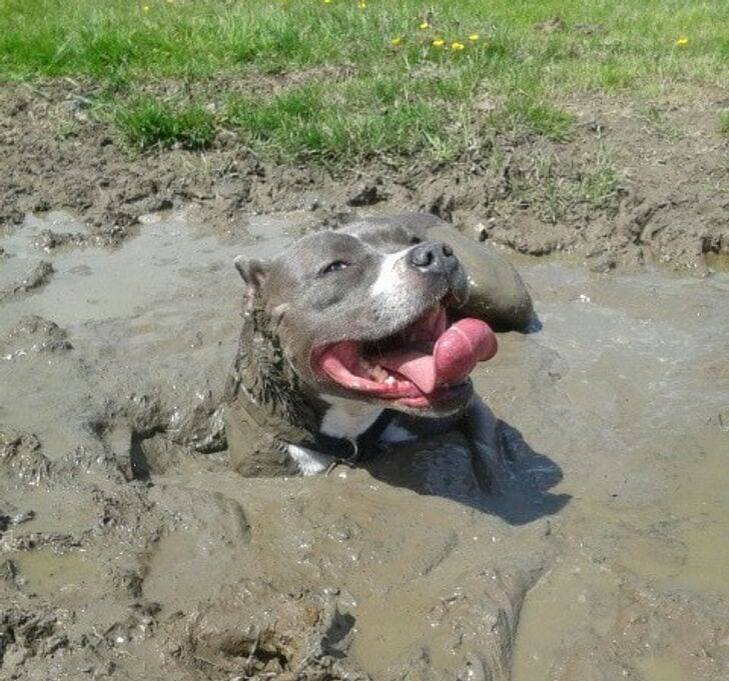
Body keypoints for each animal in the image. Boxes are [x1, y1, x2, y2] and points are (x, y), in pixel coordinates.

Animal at [225, 212, 532, 478]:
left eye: (414, 240)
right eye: (336, 266)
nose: (435, 252)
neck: (353, 423)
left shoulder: (472, 408)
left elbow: (488, 459)